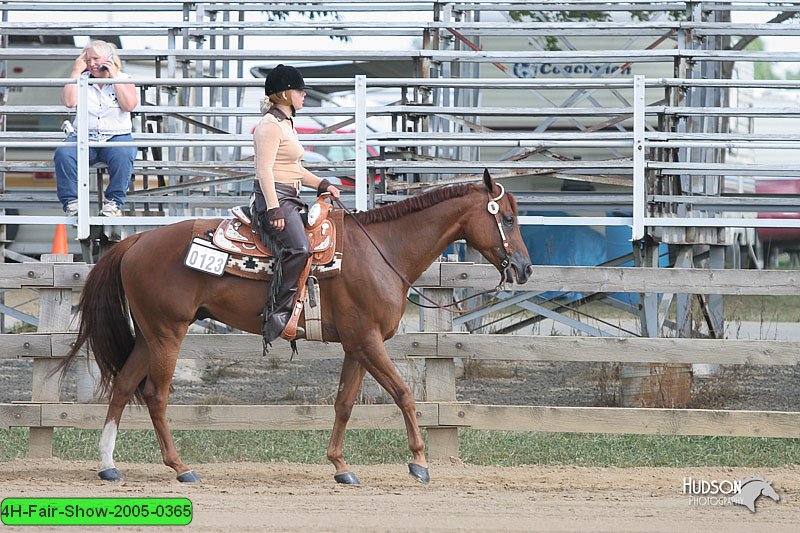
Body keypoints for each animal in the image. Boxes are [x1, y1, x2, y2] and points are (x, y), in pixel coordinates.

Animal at [61, 169, 532, 482]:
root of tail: (136, 240)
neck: (382, 251)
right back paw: (181, 467)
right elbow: (403, 393)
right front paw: (418, 461)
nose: (525, 268)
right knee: (155, 396)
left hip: (149, 334)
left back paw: (109, 466)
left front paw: (341, 466)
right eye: (507, 218)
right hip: (167, 333)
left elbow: (344, 403)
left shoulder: (356, 344)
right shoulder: (369, 341)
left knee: (124, 386)